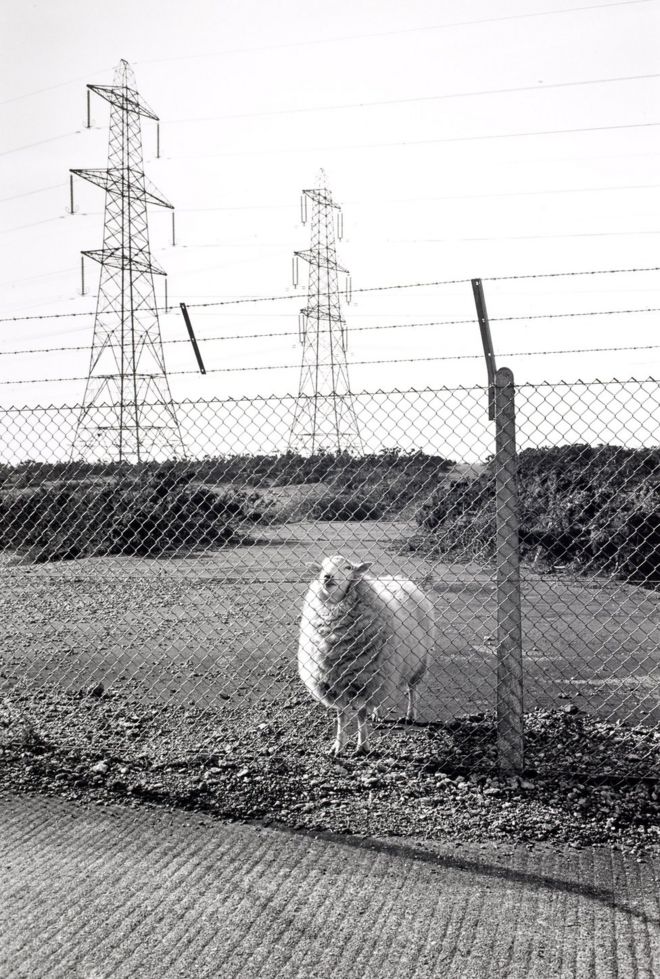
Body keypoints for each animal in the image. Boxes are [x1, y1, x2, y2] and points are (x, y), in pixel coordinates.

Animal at [298, 556, 434, 756]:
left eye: (347, 567)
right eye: (322, 567)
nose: (327, 577)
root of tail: (397, 577)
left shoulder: (364, 678)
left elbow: (361, 714)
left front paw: (362, 746)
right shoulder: (335, 683)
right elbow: (341, 715)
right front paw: (338, 746)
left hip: (418, 662)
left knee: (412, 689)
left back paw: (410, 714)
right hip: (383, 672)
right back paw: (377, 713)